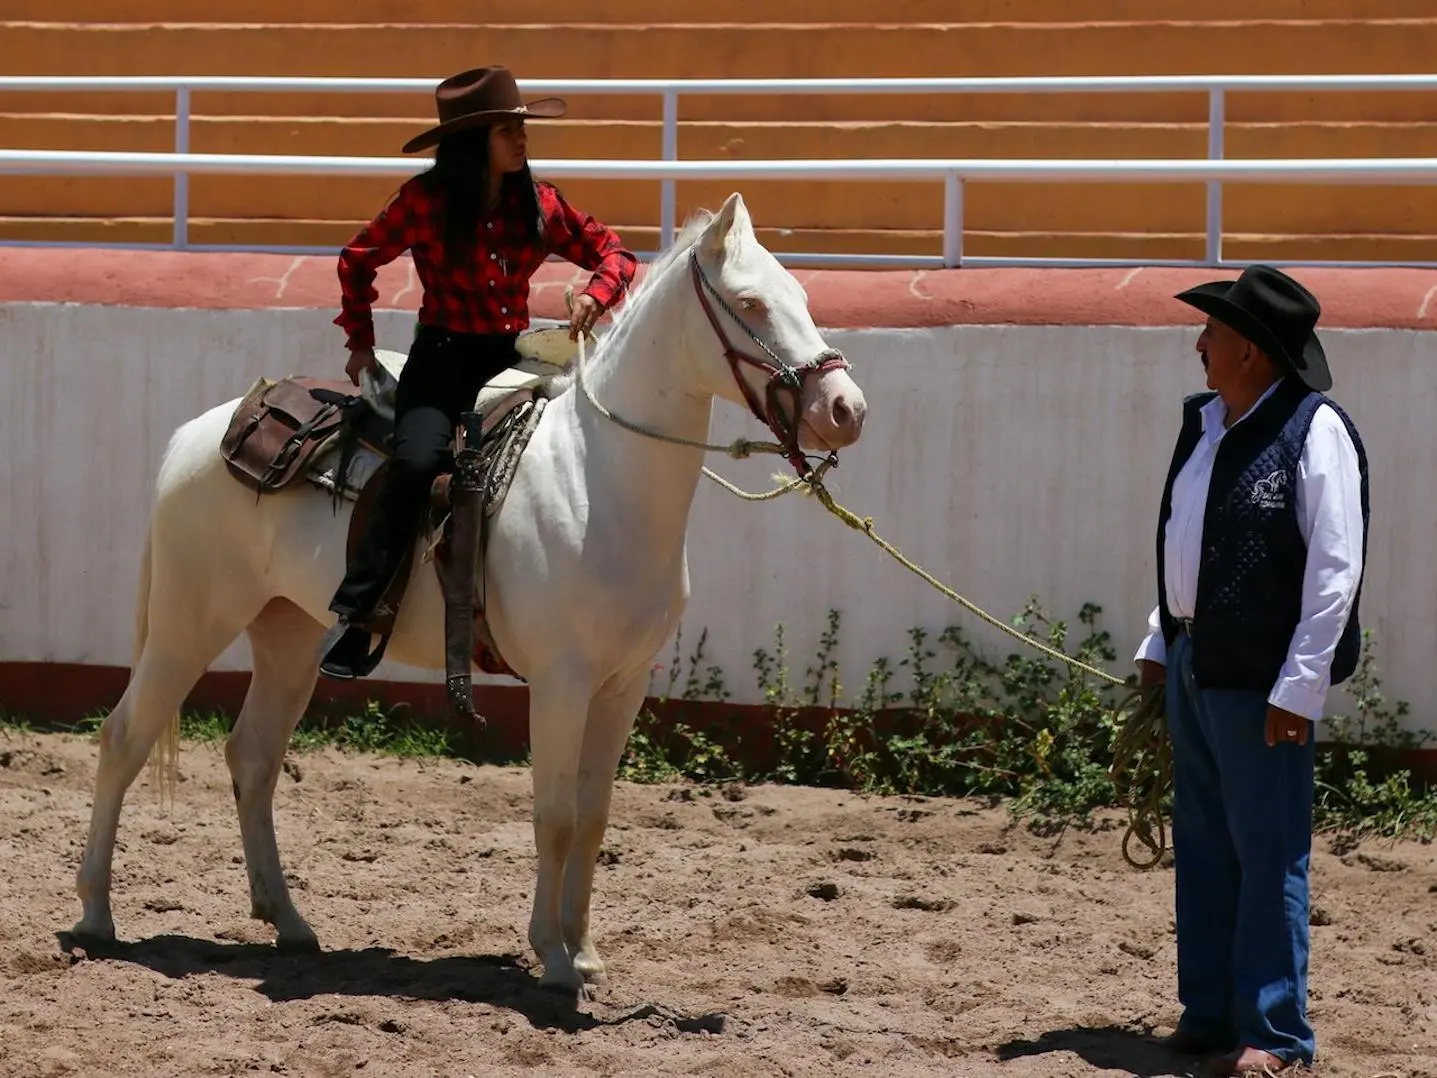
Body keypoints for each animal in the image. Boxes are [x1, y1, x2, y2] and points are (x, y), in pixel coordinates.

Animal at [70, 196, 862, 994]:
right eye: (750, 303)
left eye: (801, 296)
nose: (844, 408)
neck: (597, 478)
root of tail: (202, 433)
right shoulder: (562, 681)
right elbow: (554, 815)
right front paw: (552, 959)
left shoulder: (624, 684)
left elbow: (594, 814)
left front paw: (585, 950)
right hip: (187, 624)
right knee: (124, 737)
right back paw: (96, 915)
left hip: (287, 636)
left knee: (254, 758)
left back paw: (288, 921)